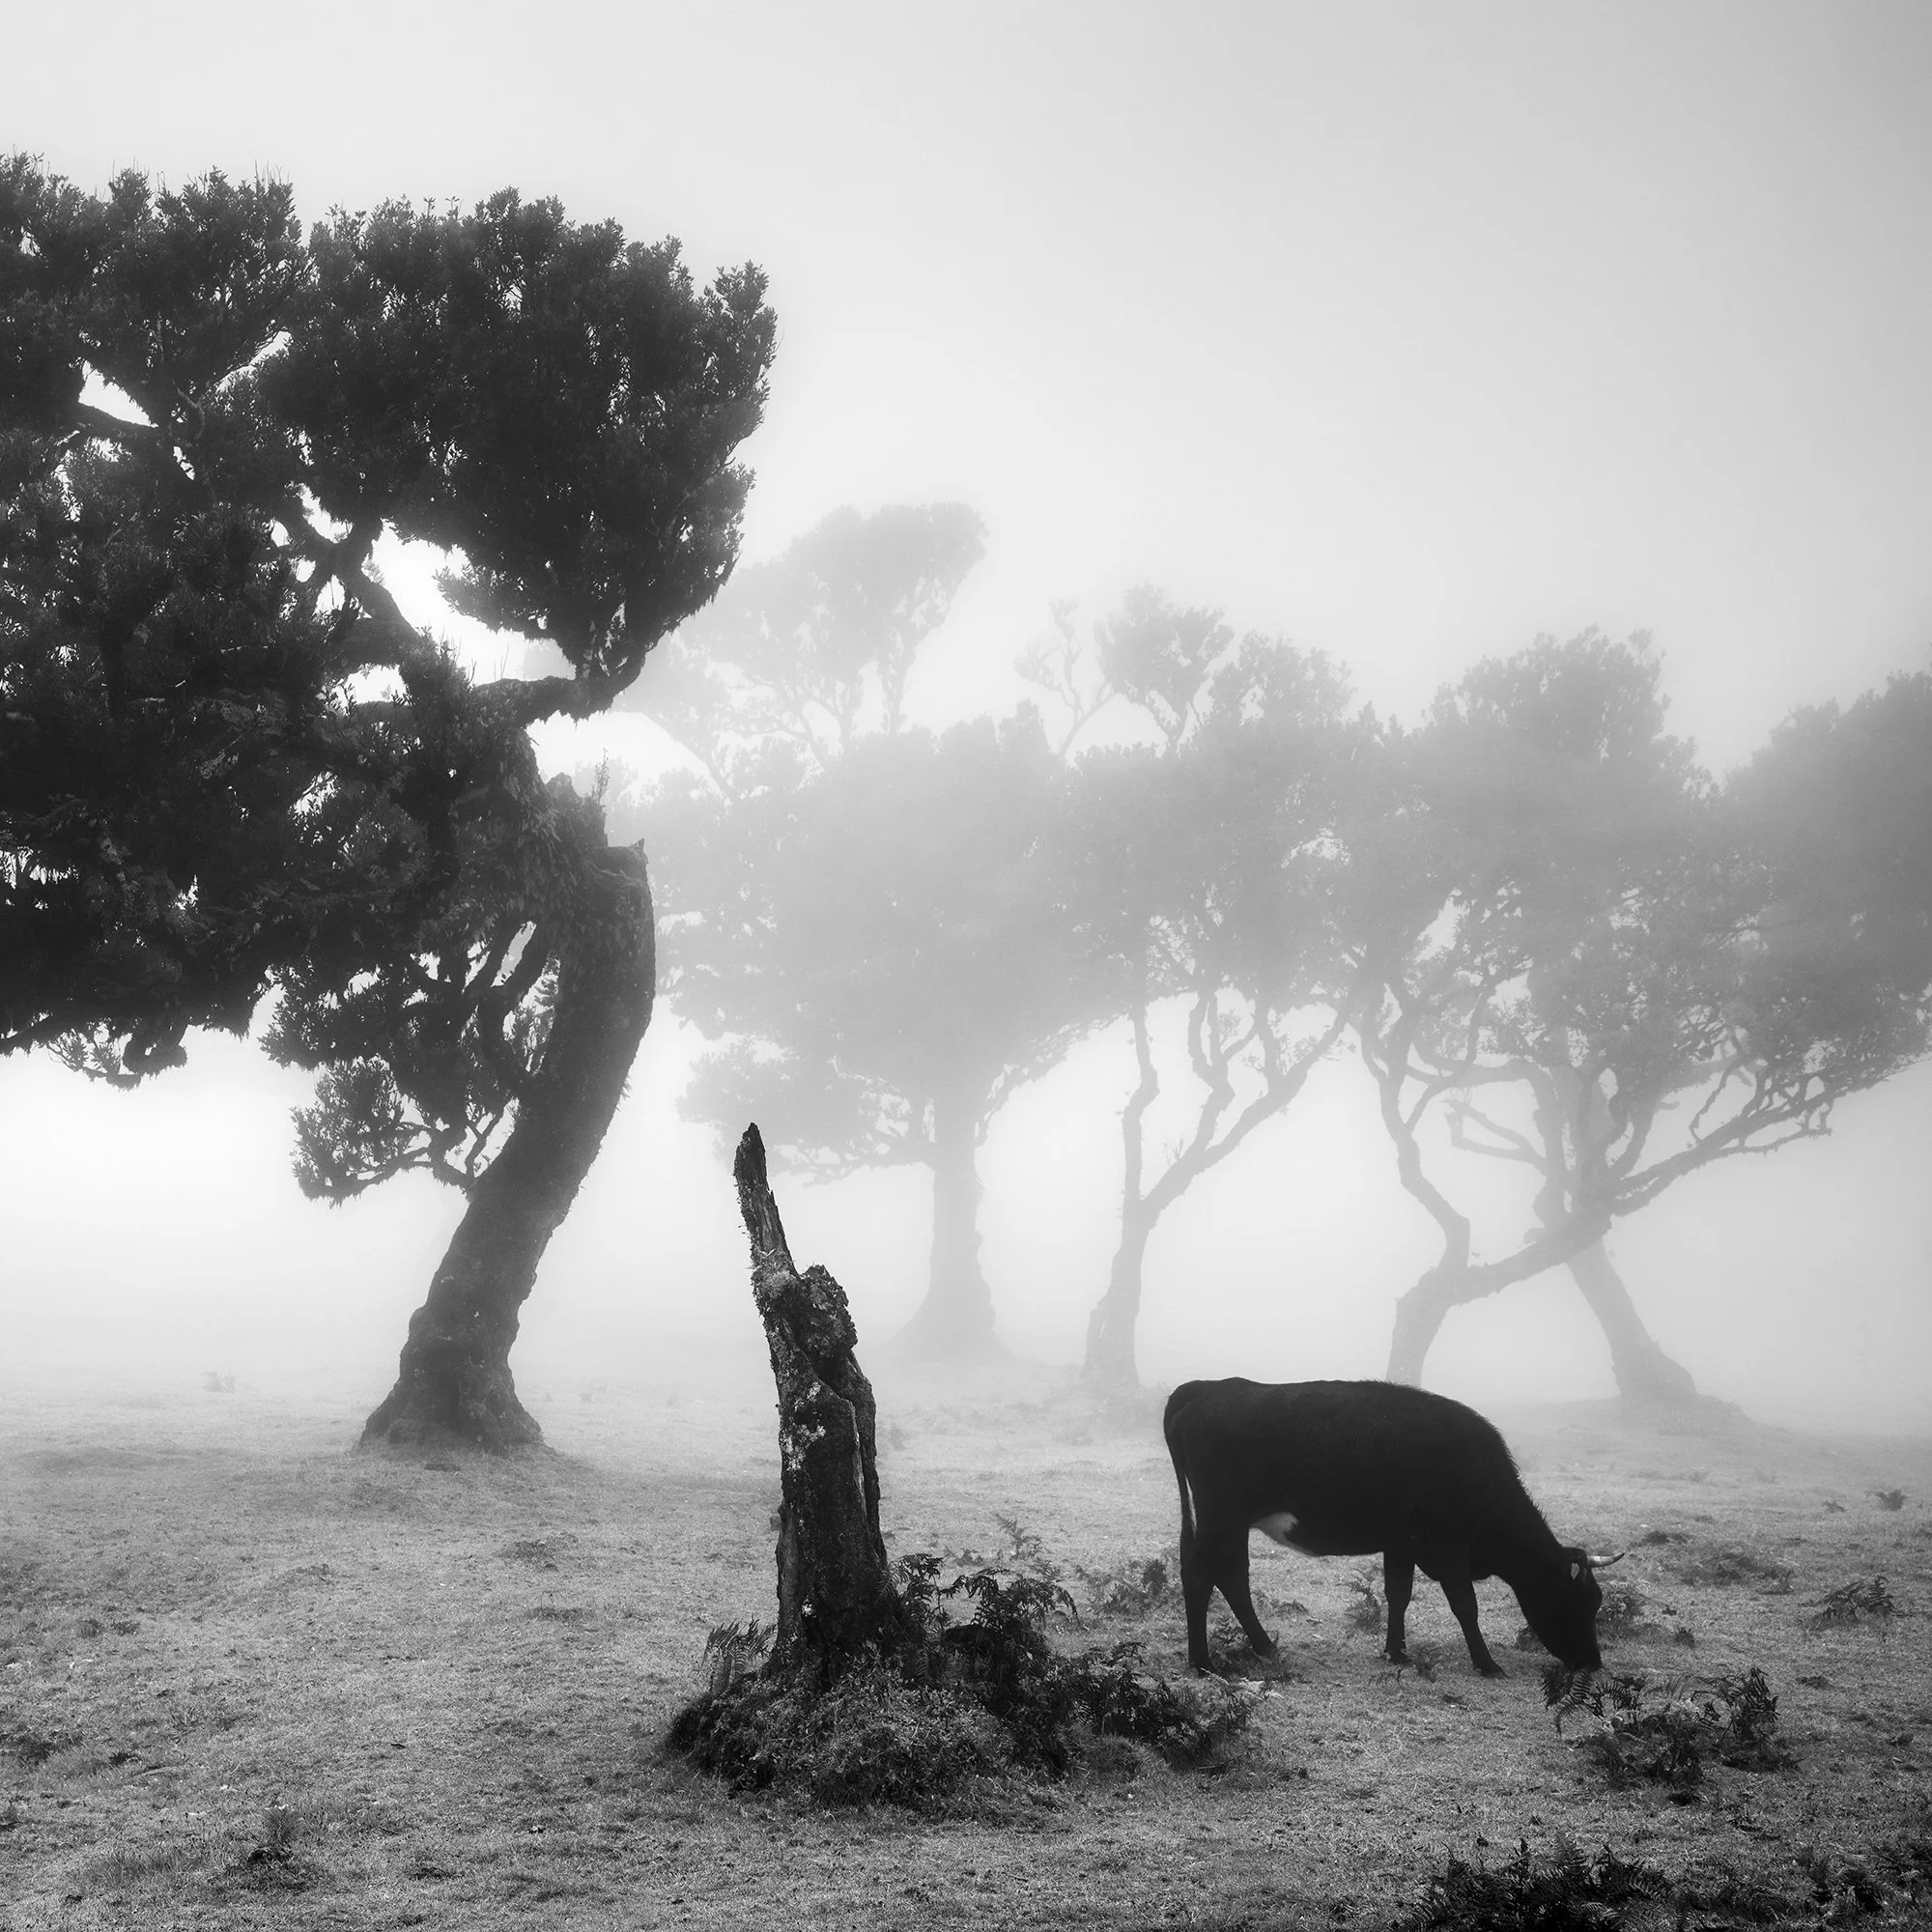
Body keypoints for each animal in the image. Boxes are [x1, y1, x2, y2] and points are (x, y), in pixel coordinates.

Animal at [1164, 1377, 1608, 1677]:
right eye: (1580, 1602)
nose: (1593, 1662)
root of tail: (1208, 1387)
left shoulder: (1401, 1544)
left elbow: (1398, 1594)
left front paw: (1397, 1652)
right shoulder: (1447, 1548)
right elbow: (1465, 1605)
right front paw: (1487, 1663)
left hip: (1230, 1523)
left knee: (1231, 1577)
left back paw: (1263, 1647)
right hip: (1221, 1518)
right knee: (1201, 1574)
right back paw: (1202, 1661)